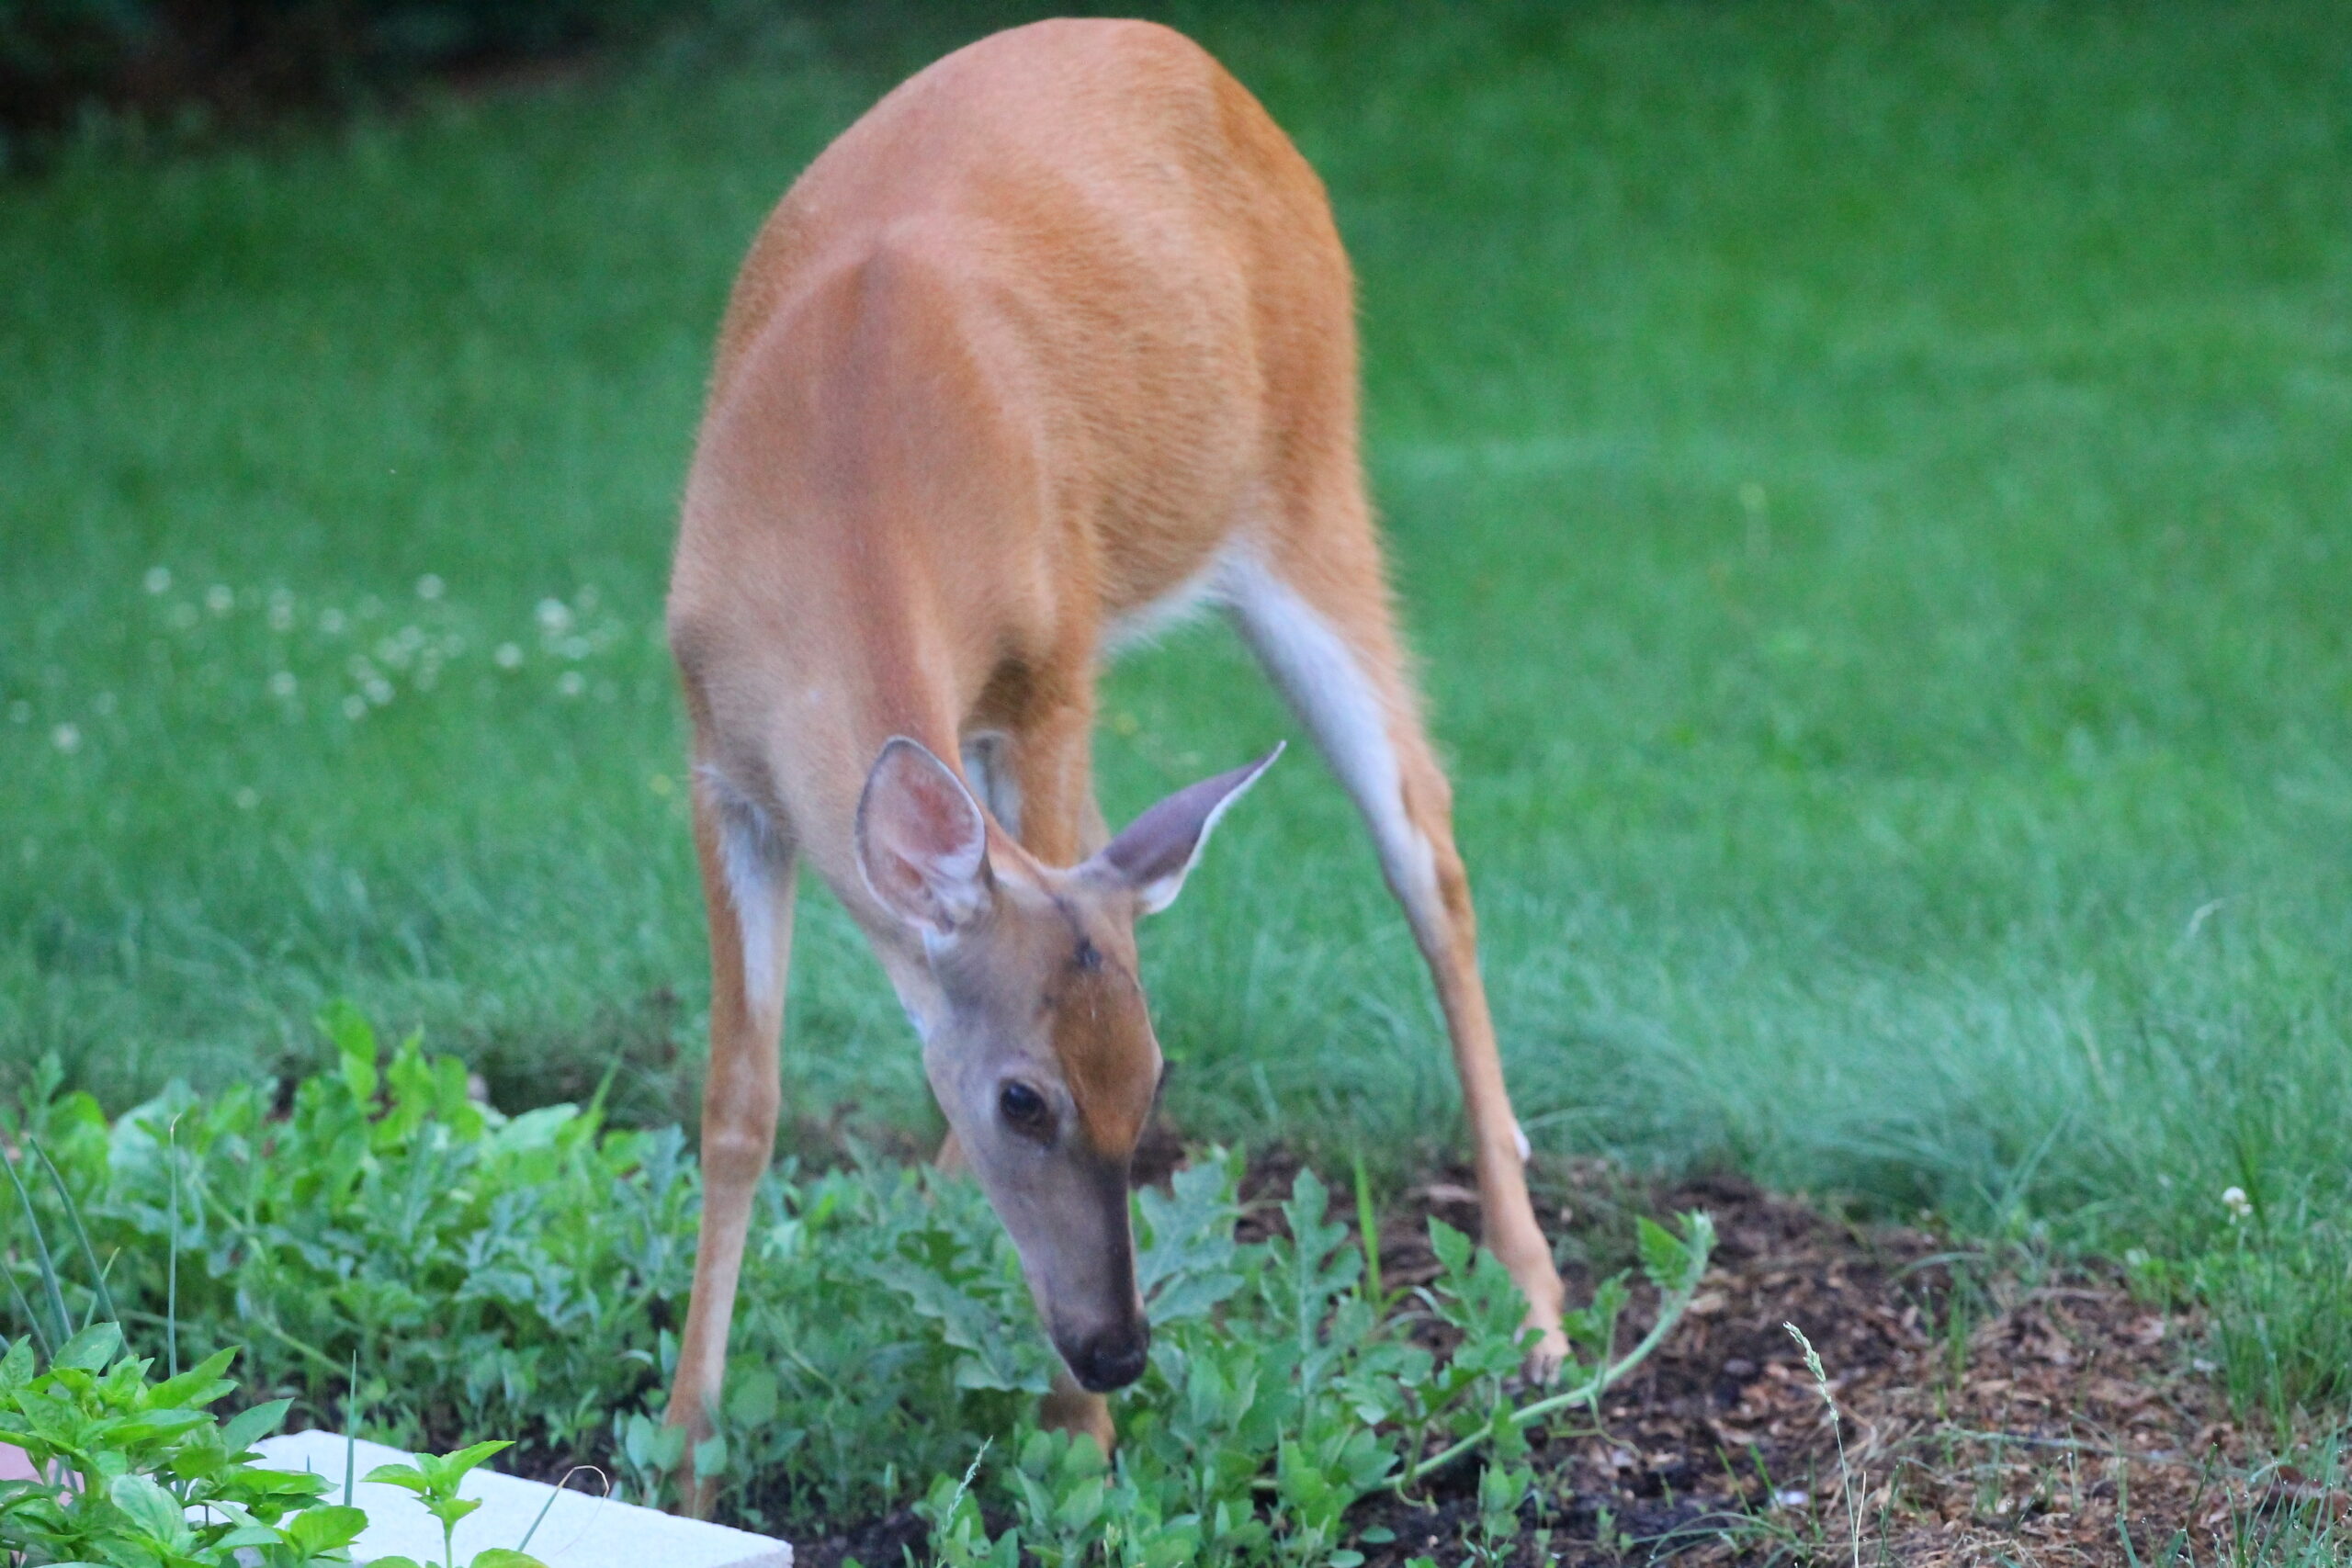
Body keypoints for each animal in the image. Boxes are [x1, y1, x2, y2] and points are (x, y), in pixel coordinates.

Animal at [661, 17, 1567, 1491]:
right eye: (1026, 1099)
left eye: (1151, 1083)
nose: (1119, 1355)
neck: (844, 484)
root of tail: (1197, 58)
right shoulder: (715, 762)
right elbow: (740, 1099)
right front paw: (685, 1440)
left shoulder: (1054, 666)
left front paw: (1077, 1451)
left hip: (1309, 487)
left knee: (1426, 844)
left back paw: (1537, 1308)